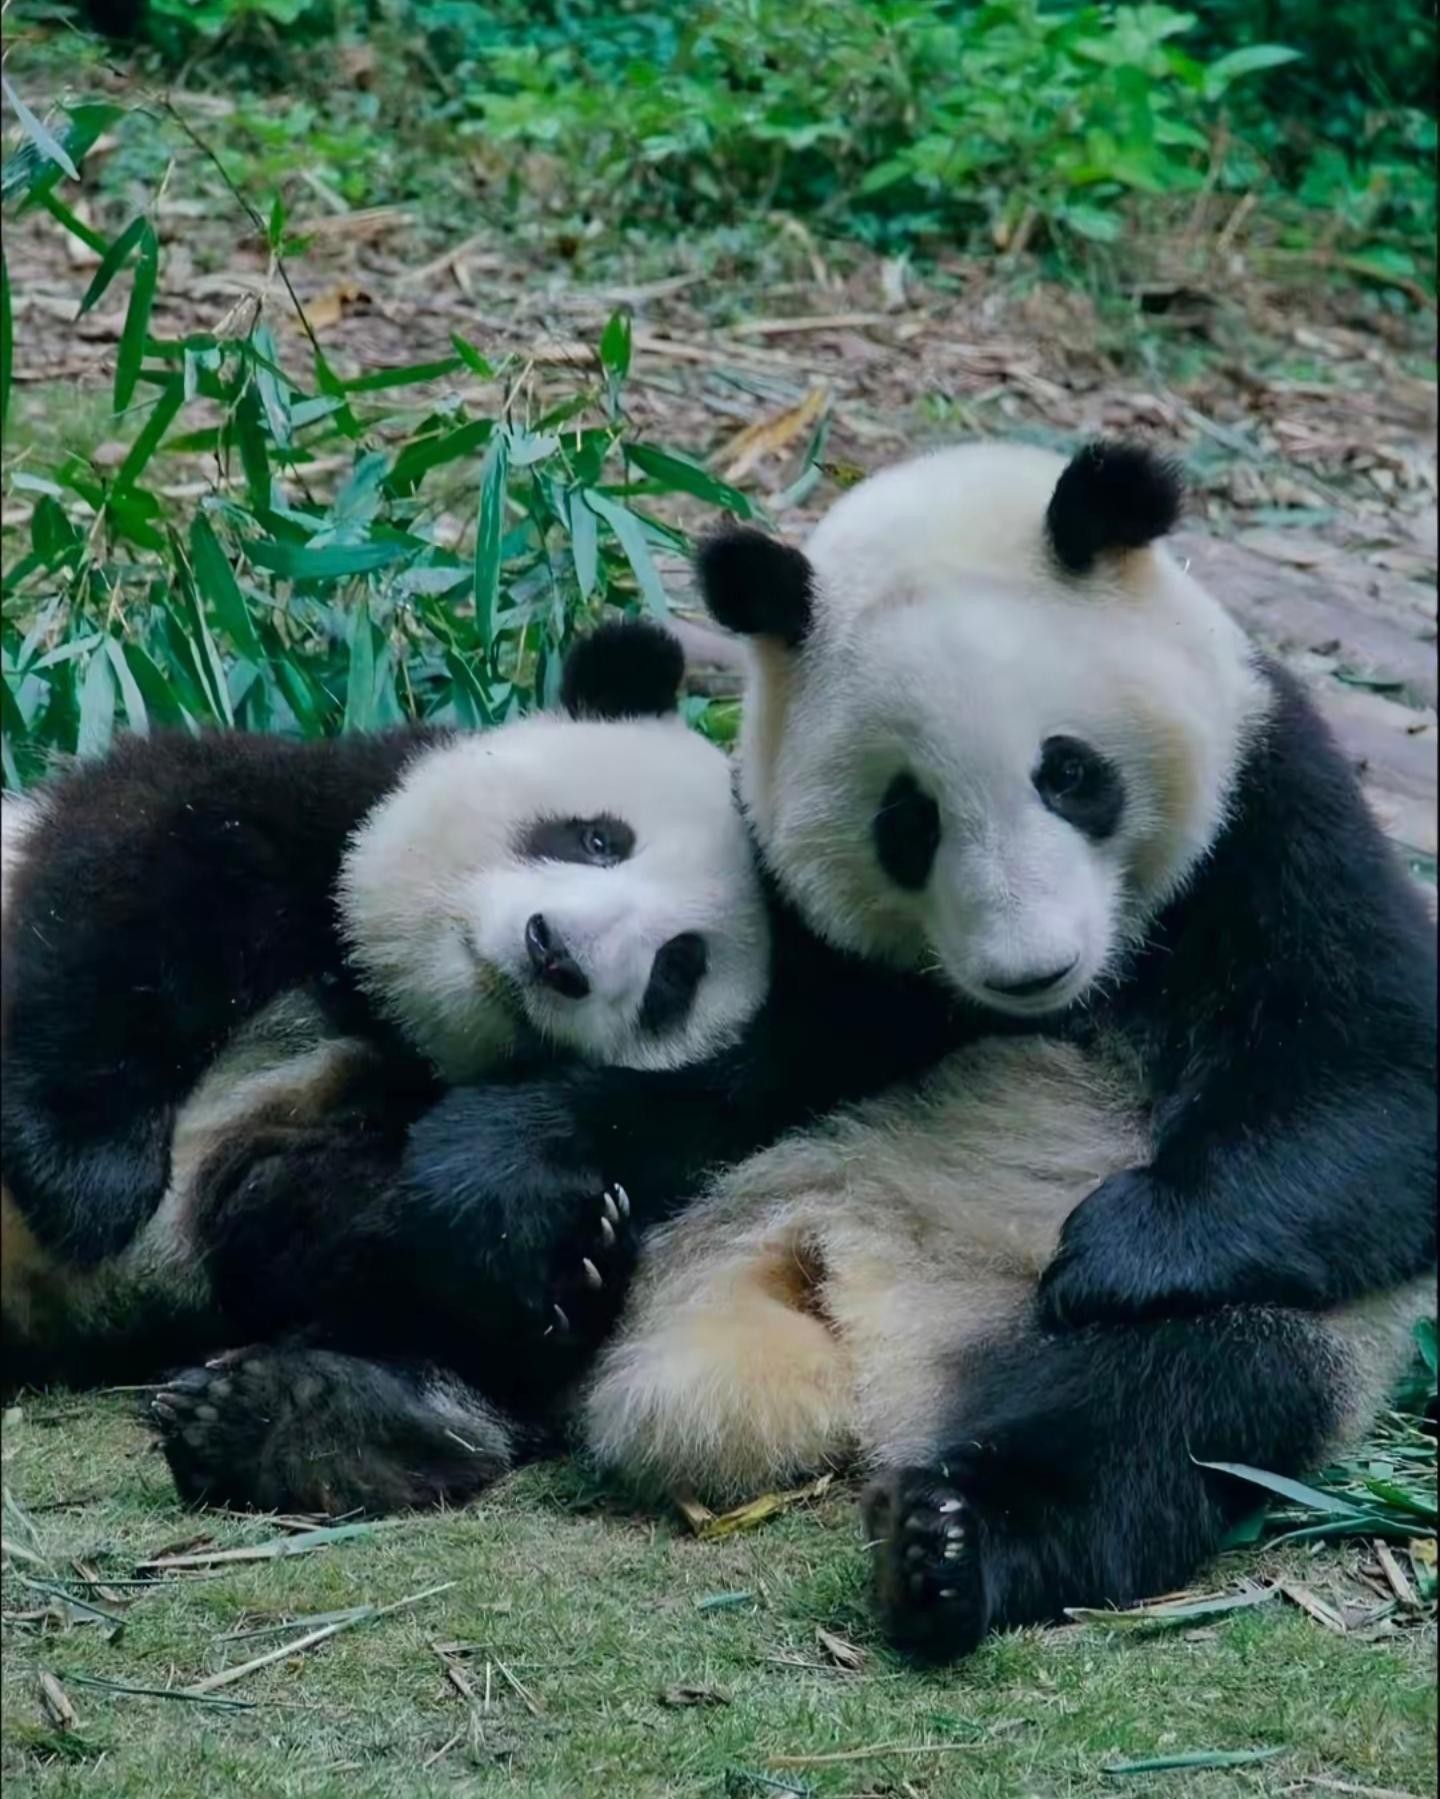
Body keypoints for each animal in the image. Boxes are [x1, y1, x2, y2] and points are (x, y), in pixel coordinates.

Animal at [0, 620, 773, 1430]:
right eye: (597, 839)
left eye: (677, 970)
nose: (555, 954)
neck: (378, 1003)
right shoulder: (315, 811)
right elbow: (140, 874)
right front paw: (90, 1180)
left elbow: (319, 1216)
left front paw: (569, 1261)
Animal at [577, 439, 1436, 1660]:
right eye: (908, 819)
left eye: (1069, 774)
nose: (1030, 969)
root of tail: (885, 1358)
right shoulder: (806, 931)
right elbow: (734, 1071)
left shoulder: (1270, 805)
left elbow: (1377, 1077)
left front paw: (1114, 1245)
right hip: (733, 1209)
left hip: (1272, 1334)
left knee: (1172, 1402)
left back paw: (953, 1544)